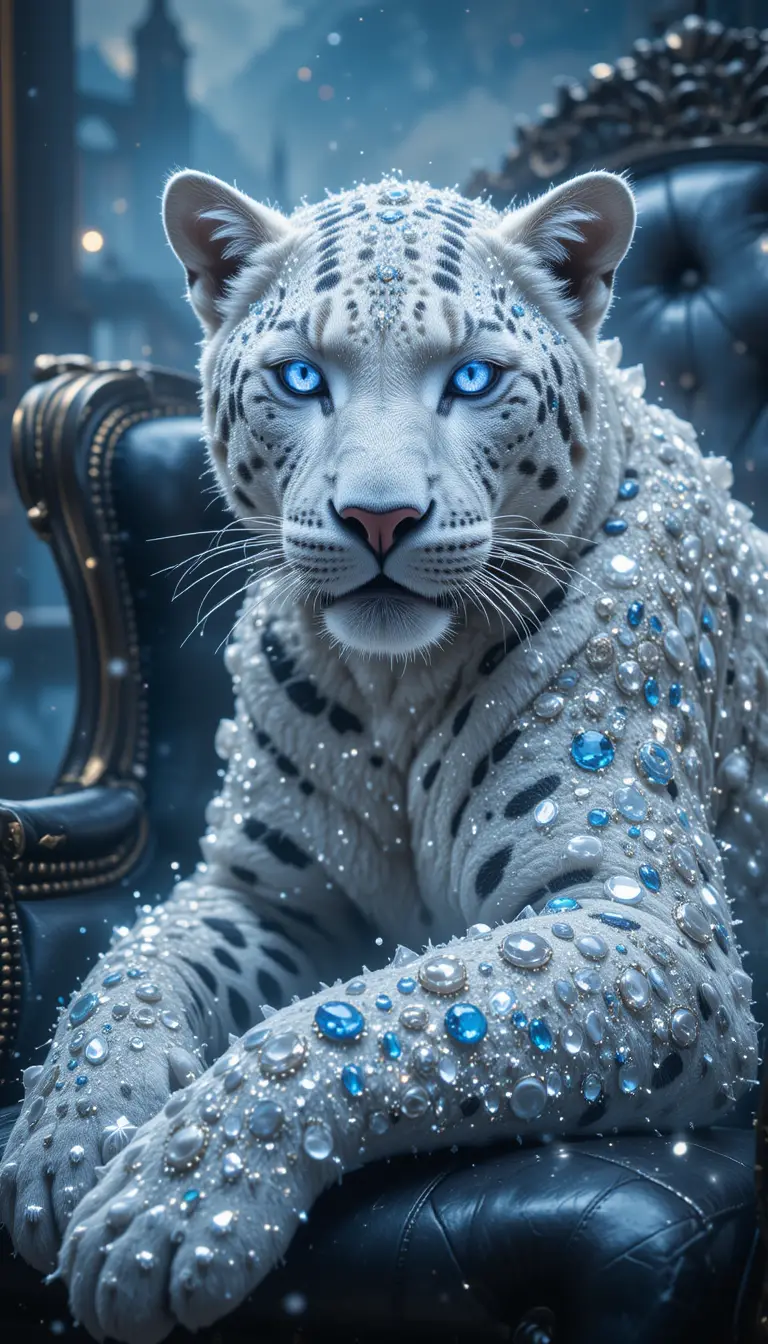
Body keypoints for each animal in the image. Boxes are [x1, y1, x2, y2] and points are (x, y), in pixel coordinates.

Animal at [0, 166, 763, 1343]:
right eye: (301, 377)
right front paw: (66, 1136)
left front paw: (174, 1210)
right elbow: (125, 965)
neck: (393, 692)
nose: (379, 518)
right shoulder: (262, 894)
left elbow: (385, 1014)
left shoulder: (653, 930)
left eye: (474, 378)